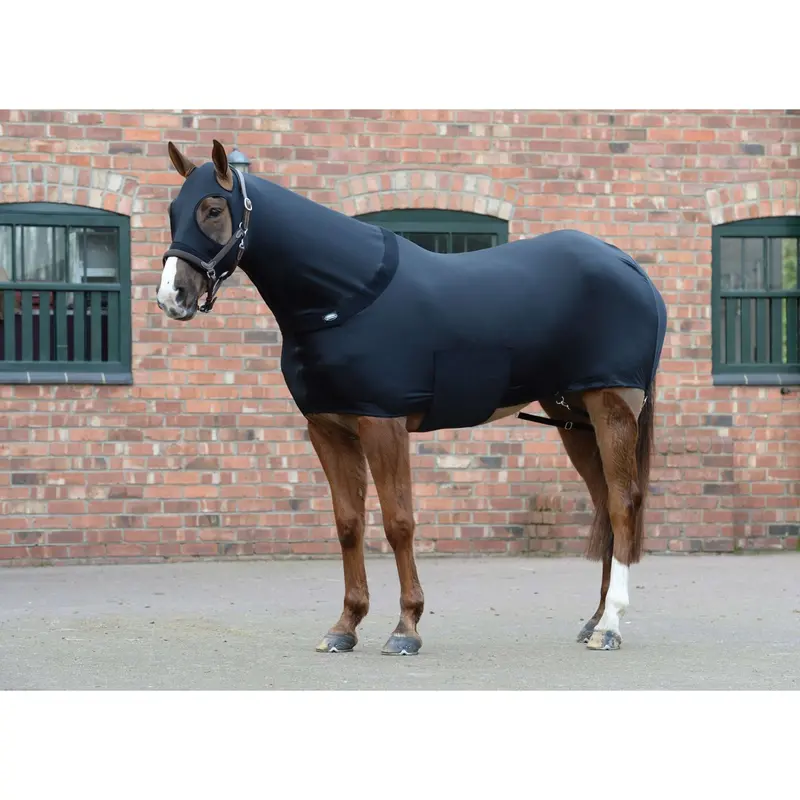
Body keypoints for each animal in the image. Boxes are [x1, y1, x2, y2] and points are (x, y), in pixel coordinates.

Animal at [157, 140, 667, 655]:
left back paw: (611, 625)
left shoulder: (384, 423)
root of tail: (628, 266)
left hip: (611, 408)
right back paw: (594, 621)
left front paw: (406, 628)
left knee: (623, 504)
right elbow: (348, 524)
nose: (171, 297)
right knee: (604, 506)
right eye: (173, 210)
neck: (346, 298)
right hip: (573, 417)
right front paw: (345, 626)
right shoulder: (327, 429)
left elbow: (398, 522)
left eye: (213, 209)